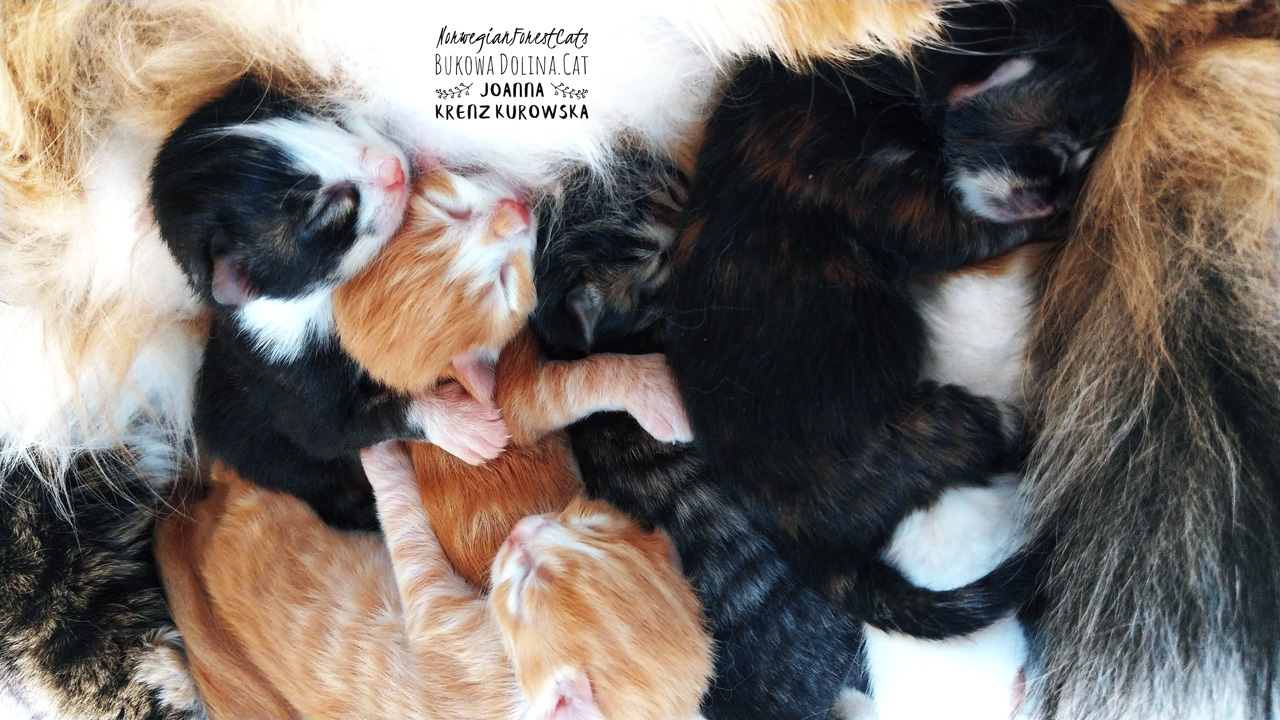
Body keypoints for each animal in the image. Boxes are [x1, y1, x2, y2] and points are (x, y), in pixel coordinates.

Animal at [150, 77, 513, 530]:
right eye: (327, 212)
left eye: (332, 118)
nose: (394, 169)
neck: (309, 302)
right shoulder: (290, 379)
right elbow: (339, 428)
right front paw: (465, 426)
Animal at [154, 445, 712, 720]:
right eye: (584, 521)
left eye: (526, 584)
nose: (521, 530)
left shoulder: (447, 634)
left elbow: (407, 531)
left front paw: (384, 458)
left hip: (263, 509)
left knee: (238, 478)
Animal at [662, 0, 1131, 632]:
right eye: (1057, 149)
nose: (1057, 198)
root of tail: (813, 550)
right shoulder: (895, 199)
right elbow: (972, 232)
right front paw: (1058, 222)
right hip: (939, 424)